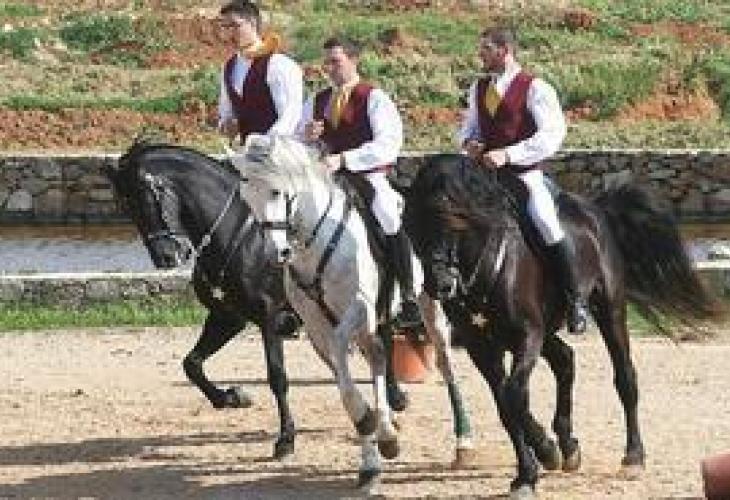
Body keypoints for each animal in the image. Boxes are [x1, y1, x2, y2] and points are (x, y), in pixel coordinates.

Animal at [231, 134, 476, 490]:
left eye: (276, 191)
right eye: (247, 197)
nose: (276, 252)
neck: (317, 241)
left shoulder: (357, 309)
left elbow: (345, 358)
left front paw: (376, 437)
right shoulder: (316, 326)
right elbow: (346, 387)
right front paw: (373, 449)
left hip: (428, 303)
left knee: (444, 363)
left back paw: (463, 442)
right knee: (379, 355)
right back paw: (389, 424)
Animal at [403, 153, 719, 499]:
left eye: (452, 222)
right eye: (411, 228)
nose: (439, 286)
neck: (487, 263)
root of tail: (595, 209)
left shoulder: (528, 335)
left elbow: (513, 395)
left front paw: (539, 457)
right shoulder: (482, 347)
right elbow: (505, 405)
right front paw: (534, 464)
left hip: (609, 312)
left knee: (624, 377)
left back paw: (633, 456)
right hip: (546, 332)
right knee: (565, 360)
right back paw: (568, 446)